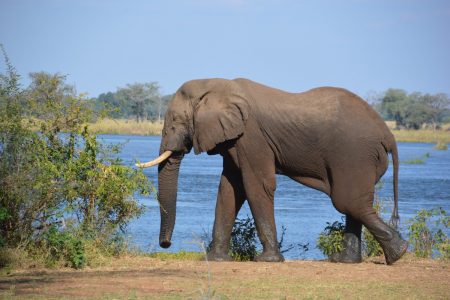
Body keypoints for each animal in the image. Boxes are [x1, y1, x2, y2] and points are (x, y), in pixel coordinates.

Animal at [137, 78, 408, 264]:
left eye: (174, 121)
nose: (166, 244)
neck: (217, 85)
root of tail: (389, 135)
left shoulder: (251, 136)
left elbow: (257, 185)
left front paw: (266, 260)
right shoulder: (234, 140)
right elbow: (229, 190)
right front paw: (216, 259)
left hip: (354, 155)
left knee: (347, 201)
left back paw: (398, 253)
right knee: (353, 203)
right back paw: (348, 261)